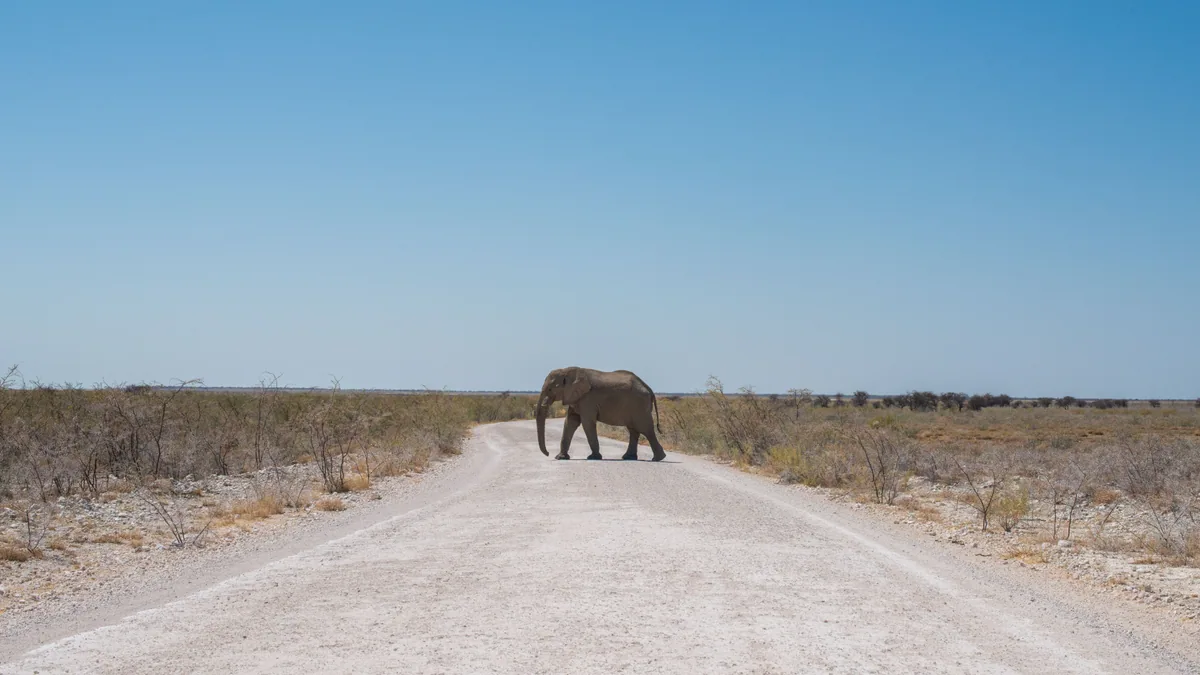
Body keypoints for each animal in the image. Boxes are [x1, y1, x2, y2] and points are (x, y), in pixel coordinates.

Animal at [535, 366, 666, 462]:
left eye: (550, 389)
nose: (547, 454)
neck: (567, 371)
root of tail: (649, 388)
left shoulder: (587, 400)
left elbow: (587, 423)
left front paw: (593, 457)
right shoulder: (576, 398)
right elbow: (570, 422)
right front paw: (560, 458)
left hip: (639, 406)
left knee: (645, 429)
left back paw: (658, 458)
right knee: (634, 430)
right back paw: (629, 458)